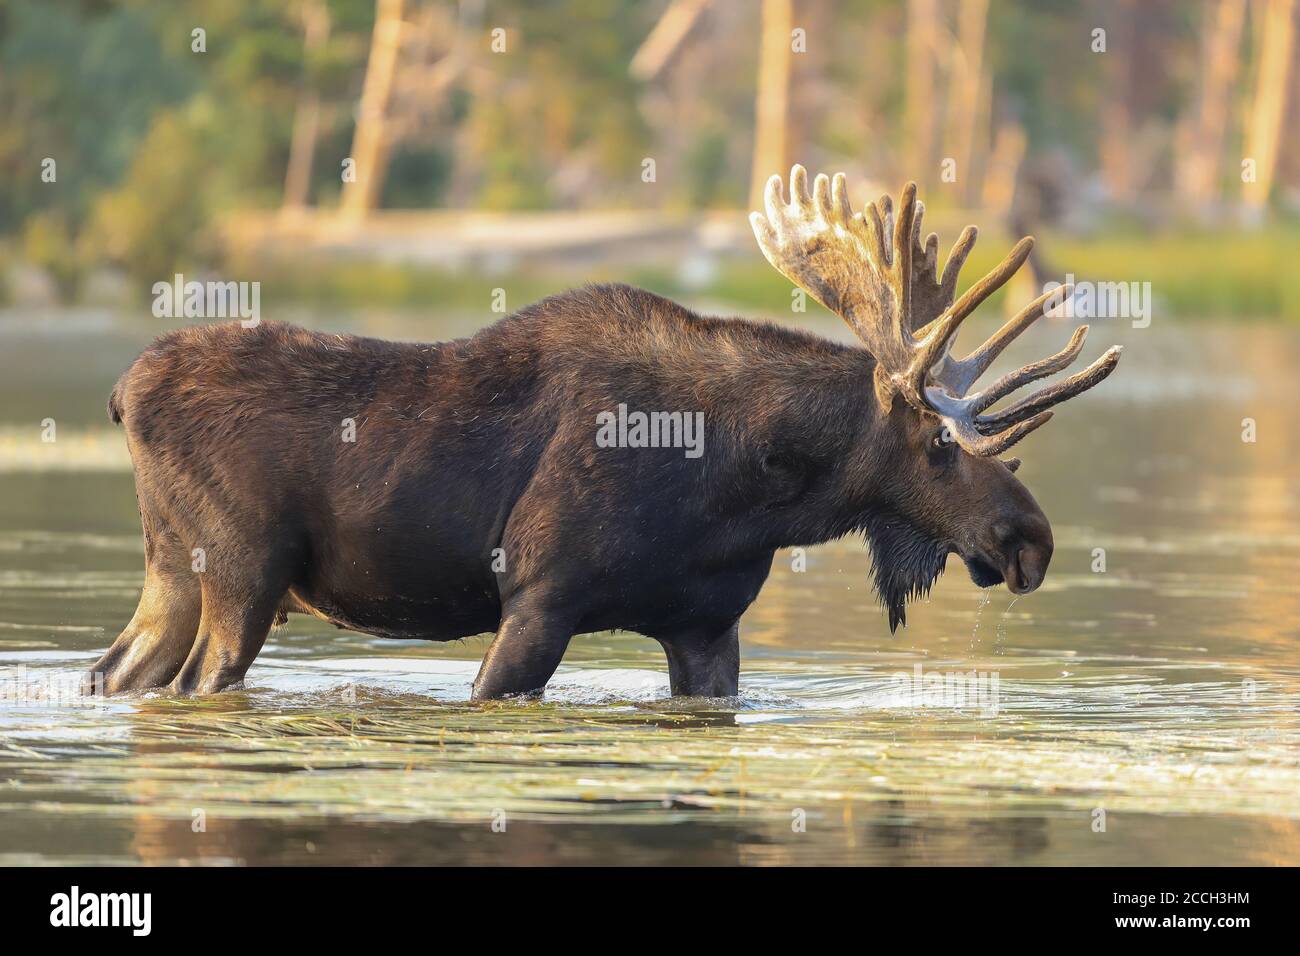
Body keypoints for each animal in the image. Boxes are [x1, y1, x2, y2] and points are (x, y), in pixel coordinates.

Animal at [91, 167, 1118, 697]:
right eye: (942, 445)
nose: (1031, 539)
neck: (744, 490)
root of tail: (122, 391)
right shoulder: (540, 598)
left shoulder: (705, 626)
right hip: (244, 572)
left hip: (172, 572)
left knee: (114, 672)